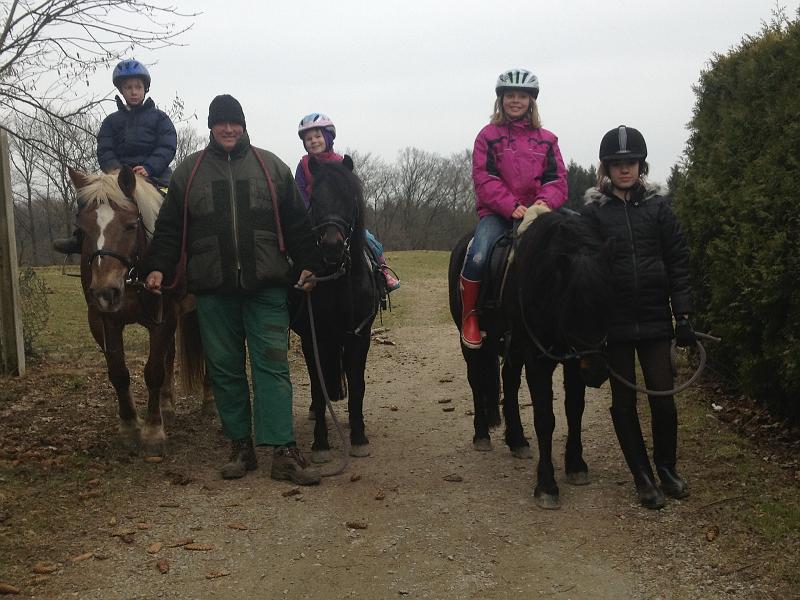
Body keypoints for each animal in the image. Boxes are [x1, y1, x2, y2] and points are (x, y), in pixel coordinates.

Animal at [70, 166, 209, 458]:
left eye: (130, 226)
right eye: (83, 229)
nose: (106, 291)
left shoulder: (163, 318)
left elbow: (153, 371)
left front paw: (153, 432)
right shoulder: (102, 320)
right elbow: (119, 372)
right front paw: (129, 426)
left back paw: (209, 402)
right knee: (170, 356)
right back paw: (167, 405)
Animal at [292, 157, 382, 462]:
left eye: (349, 198)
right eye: (315, 199)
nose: (332, 246)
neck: (336, 278)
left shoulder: (358, 335)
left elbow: (356, 384)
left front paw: (359, 436)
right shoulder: (312, 337)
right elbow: (318, 387)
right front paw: (320, 442)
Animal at [446, 209, 608, 508]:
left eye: (610, 299)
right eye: (571, 305)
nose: (597, 371)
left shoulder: (572, 359)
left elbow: (575, 410)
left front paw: (576, 465)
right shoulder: (538, 360)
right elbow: (545, 418)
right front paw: (546, 485)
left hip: (514, 350)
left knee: (509, 384)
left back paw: (517, 439)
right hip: (472, 345)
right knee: (476, 382)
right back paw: (482, 434)